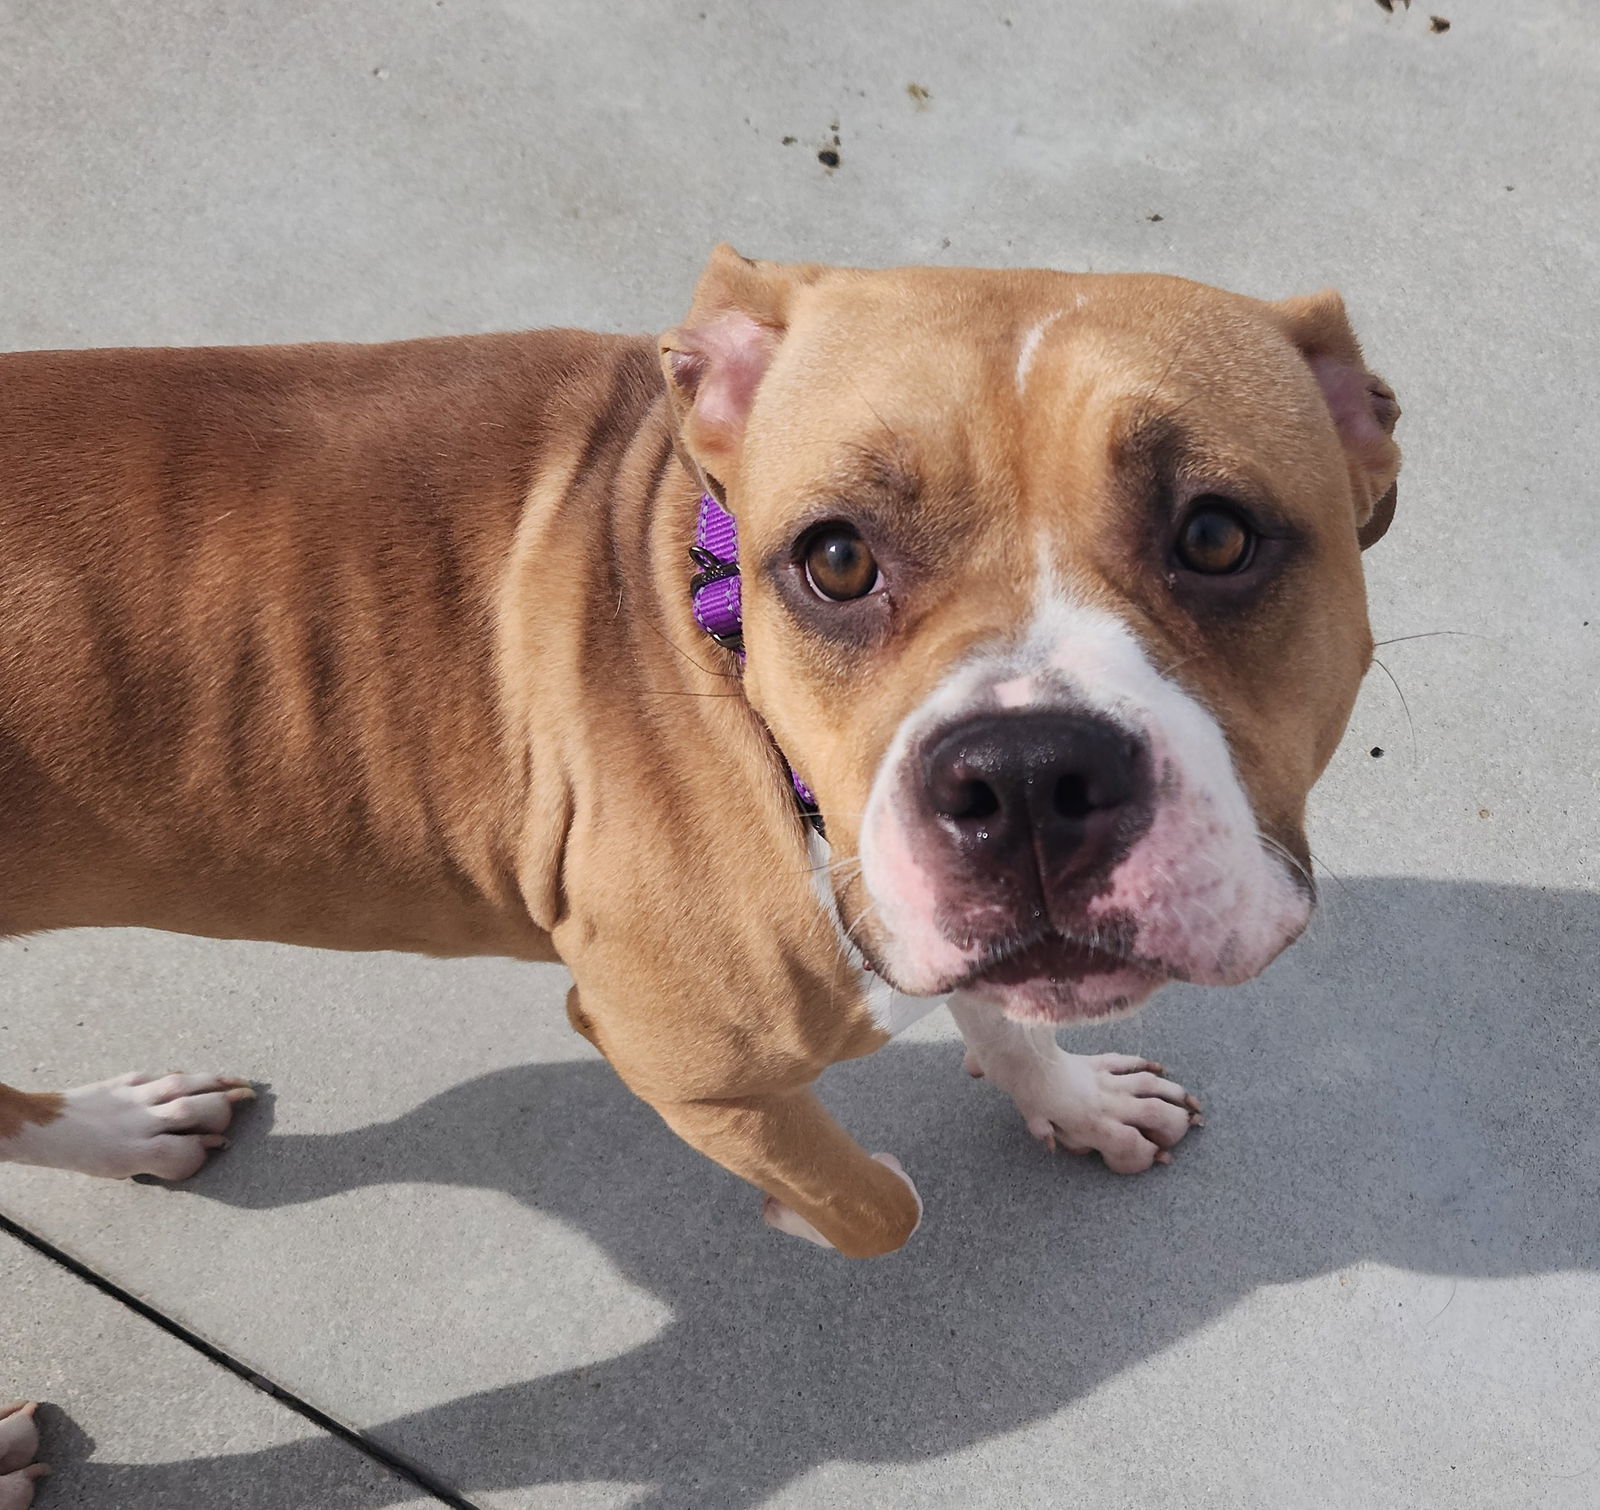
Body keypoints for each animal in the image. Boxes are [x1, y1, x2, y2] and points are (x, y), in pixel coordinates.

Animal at [0, 244, 1401, 1497]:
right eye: (835, 558)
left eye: (1214, 535)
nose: (1022, 776)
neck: (703, 607)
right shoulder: (684, 1059)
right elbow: (878, 1206)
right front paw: (800, 1211)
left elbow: (999, 1013)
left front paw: (1072, 1100)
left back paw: (131, 1128)